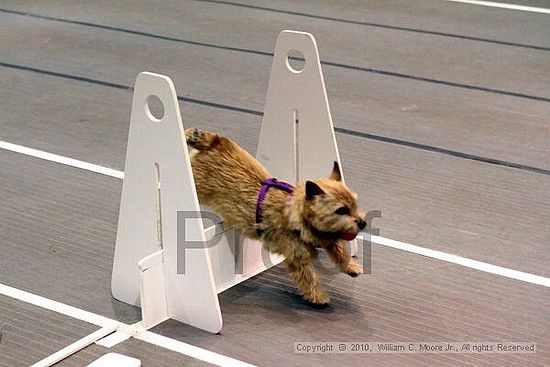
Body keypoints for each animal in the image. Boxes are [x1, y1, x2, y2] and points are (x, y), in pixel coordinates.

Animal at [185, 128, 366, 306]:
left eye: (355, 204)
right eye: (341, 210)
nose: (363, 223)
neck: (296, 215)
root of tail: (216, 142)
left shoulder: (326, 238)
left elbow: (339, 248)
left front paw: (351, 266)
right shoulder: (297, 256)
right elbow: (308, 276)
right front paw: (318, 296)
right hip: (197, 184)